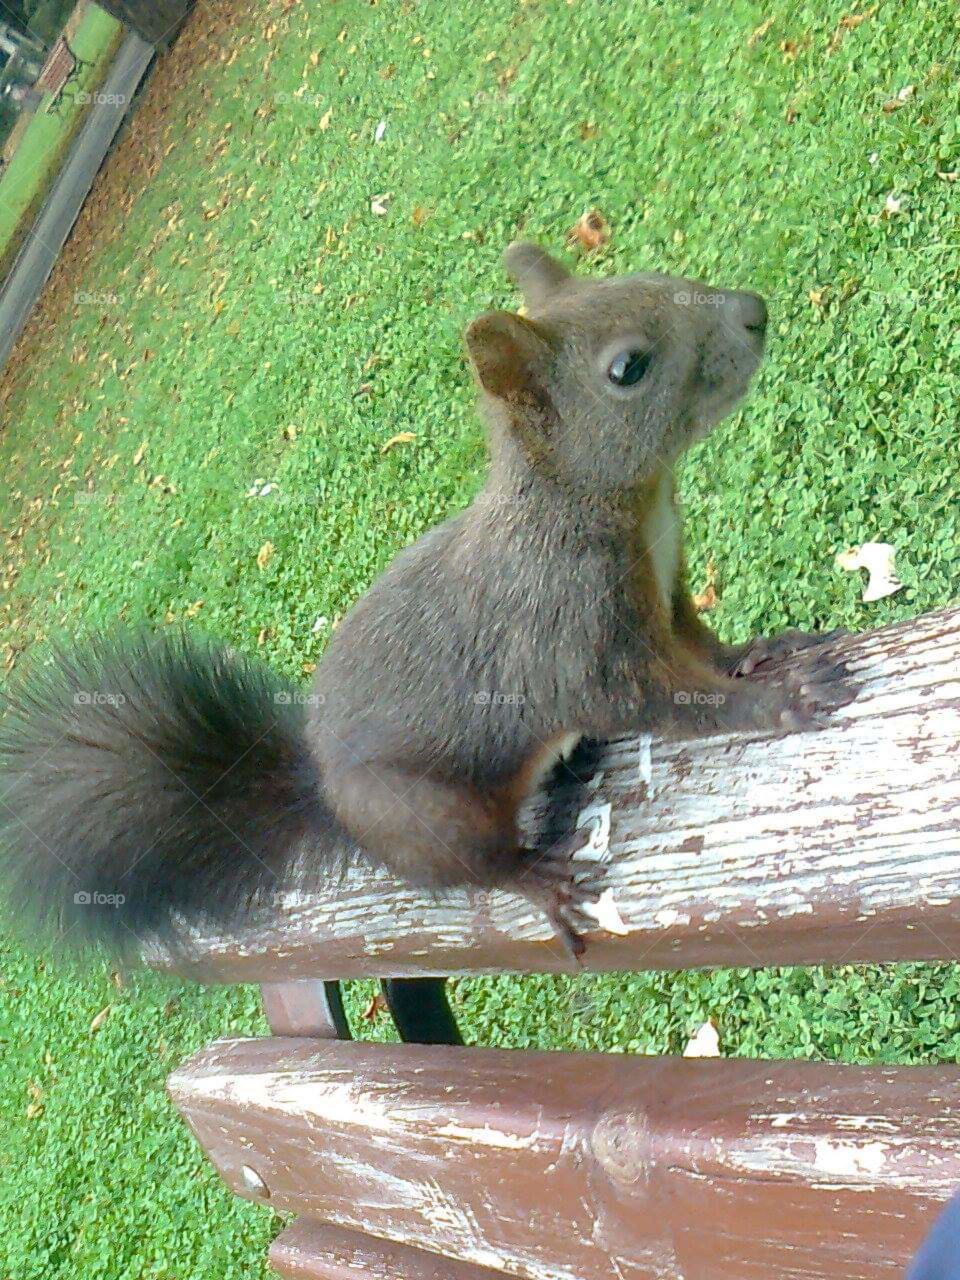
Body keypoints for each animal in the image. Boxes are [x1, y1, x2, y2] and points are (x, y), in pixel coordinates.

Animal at [0, 241, 855, 962]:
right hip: (426, 814)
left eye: (653, 274)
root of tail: (327, 800)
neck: (622, 506)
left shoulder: (668, 589)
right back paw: (533, 877)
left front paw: (764, 654)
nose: (752, 310)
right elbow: (667, 701)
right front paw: (782, 701)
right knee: (472, 865)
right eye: (628, 368)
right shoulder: (573, 636)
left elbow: (705, 647)